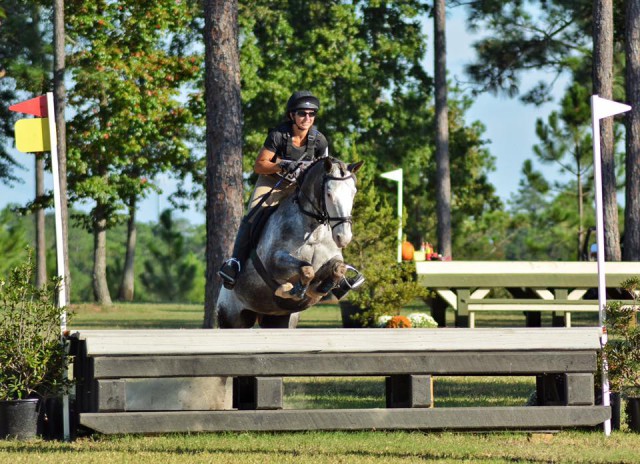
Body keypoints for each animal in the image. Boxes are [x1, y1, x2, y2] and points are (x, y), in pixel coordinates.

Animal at [216, 158, 362, 328]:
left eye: (353, 193)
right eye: (329, 193)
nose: (343, 237)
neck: (314, 231)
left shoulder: (333, 258)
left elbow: (339, 268)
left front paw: (325, 288)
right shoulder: (273, 261)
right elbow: (307, 269)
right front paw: (293, 290)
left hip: (279, 319)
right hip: (231, 318)